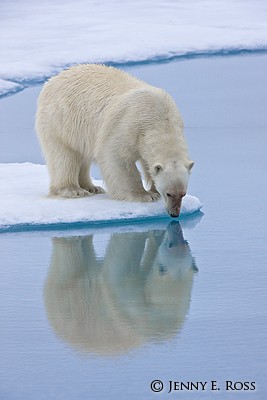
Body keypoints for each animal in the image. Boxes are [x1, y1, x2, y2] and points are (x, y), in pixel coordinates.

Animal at [36, 63, 195, 217]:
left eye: (183, 194)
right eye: (169, 194)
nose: (175, 214)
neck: (160, 118)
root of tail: (53, 79)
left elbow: (146, 163)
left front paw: (154, 190)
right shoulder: (127, 126)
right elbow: (116, 158)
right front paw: (144, 195)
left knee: (83, 156)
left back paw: (92, 187)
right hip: (60, 121)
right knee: (64, 157)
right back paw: (74, 190)